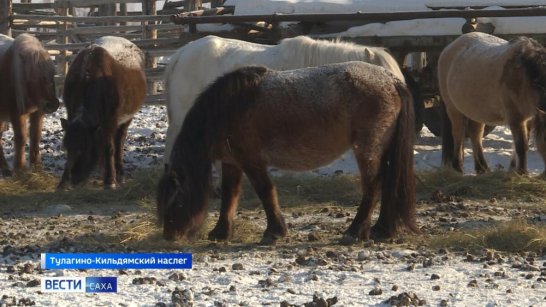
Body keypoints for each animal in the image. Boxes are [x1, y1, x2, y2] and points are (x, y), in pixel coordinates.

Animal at [0, 33, 59, 177]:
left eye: (52, 75)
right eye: (33, 77)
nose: (53, 104)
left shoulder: (38, 112)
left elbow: (35, 136)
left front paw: (36, 166)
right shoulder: (17, 114)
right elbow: (21, 138)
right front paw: (20, 168)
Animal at [59, 36, 146, 190]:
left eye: (87, 147)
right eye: (67, 147)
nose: (75, 178)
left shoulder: (109, 121)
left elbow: (109, 148)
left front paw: (110, 181)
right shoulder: (71, 114)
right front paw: (63, 183)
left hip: (126, 120)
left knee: (119, 142)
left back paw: (120, 173)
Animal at [157, 62, 416, 245]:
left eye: (177, 201)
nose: (169, 235)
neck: (229, 107)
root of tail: (392, 80)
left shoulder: (251, 161)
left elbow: (265, 192)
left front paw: (274, 232)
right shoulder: (232, 163)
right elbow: (230, 195)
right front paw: (221, 232)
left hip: (367, 149)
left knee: (373, 186)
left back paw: (355, 231)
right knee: (387, 182)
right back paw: (382, 229)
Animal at [436, 32, 544, 176]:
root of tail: (448, 49)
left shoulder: (529, 117)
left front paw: (514, 169)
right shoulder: (515, 116)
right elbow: (521, 145)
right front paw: (522, 173)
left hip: (476, 111)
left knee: (476, 135)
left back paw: (482, 168)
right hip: (454, 110)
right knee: (458, 135)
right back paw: (458, 167)